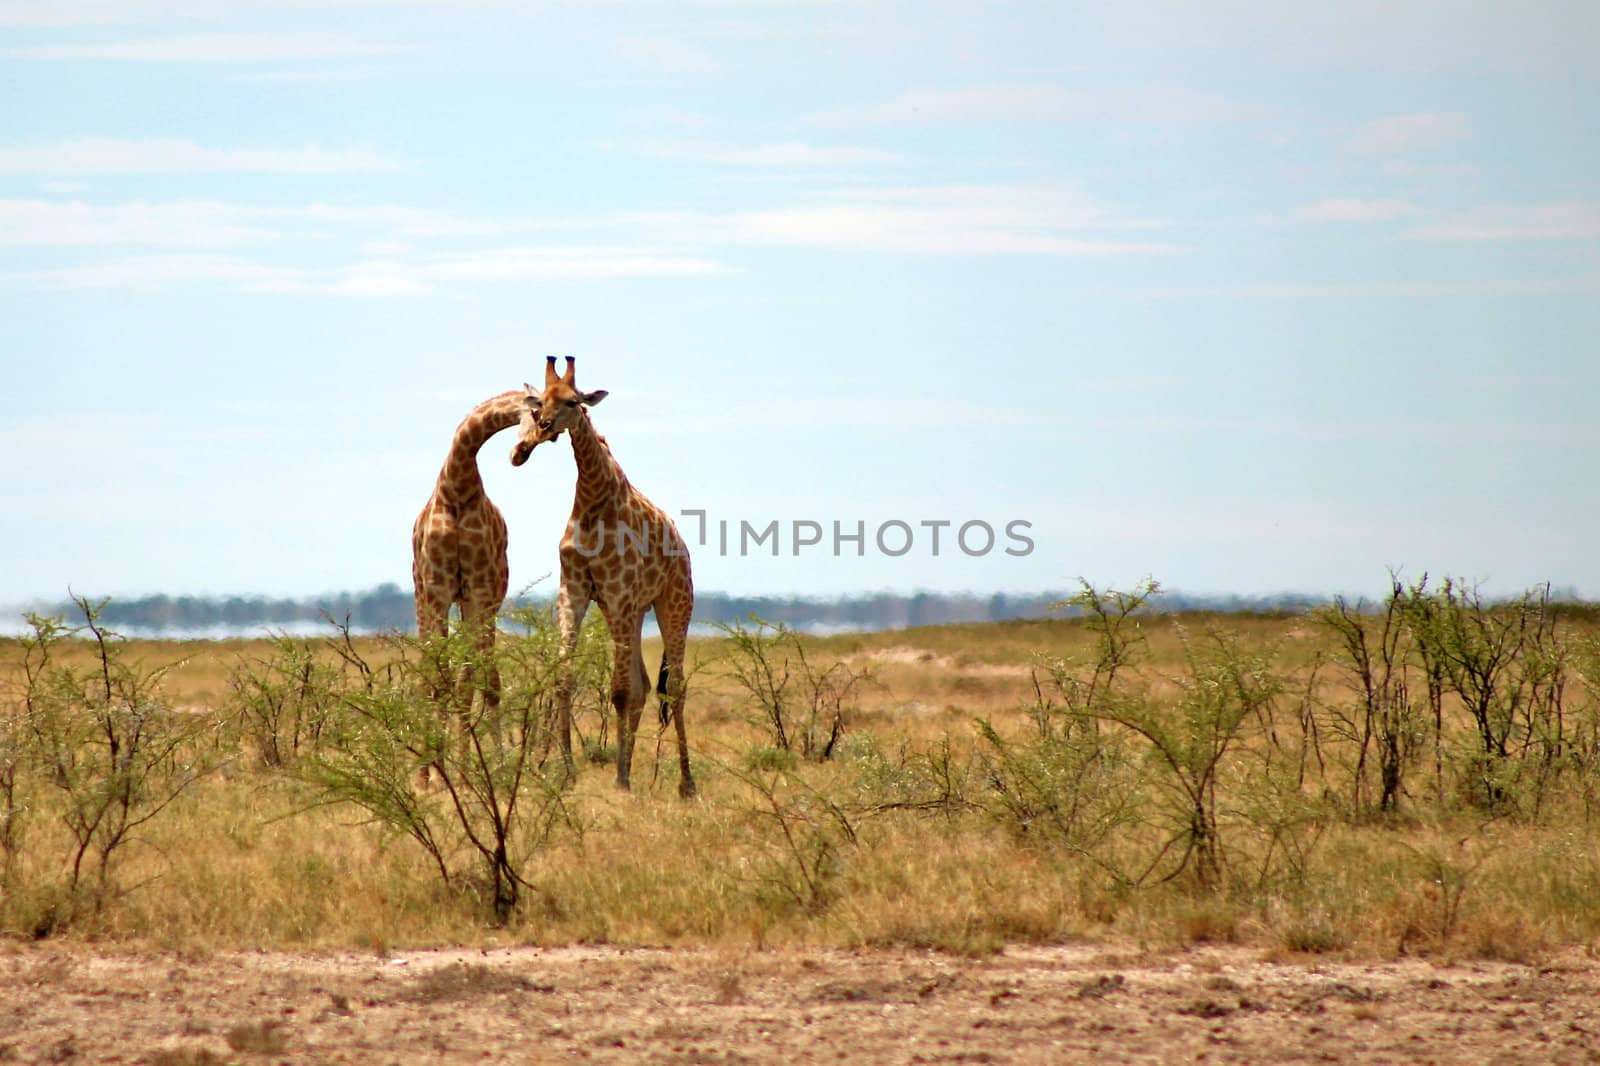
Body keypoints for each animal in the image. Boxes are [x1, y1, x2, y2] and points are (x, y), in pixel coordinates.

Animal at [409, 385, 521, 717]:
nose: (520, 452)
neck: (457, 491)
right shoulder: (438, 590)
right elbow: (442, 680)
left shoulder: (479, 592)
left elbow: (474, 679)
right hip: (426, 597)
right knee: (436, 675)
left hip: (481, 600)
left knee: (481, 677)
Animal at [505, 356, 694, 797]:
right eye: (540, 401)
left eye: (574, 401)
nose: (541, 429)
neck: (592, 501)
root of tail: (683, 547)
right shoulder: (576, 591)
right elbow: (565, 678)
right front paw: (567, 772)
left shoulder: (620, 593)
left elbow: (620, 692)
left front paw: (621, 780)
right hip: (628, 611)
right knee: (646, 685)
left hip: (672, 603)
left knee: (673, 687)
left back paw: (685, 783)